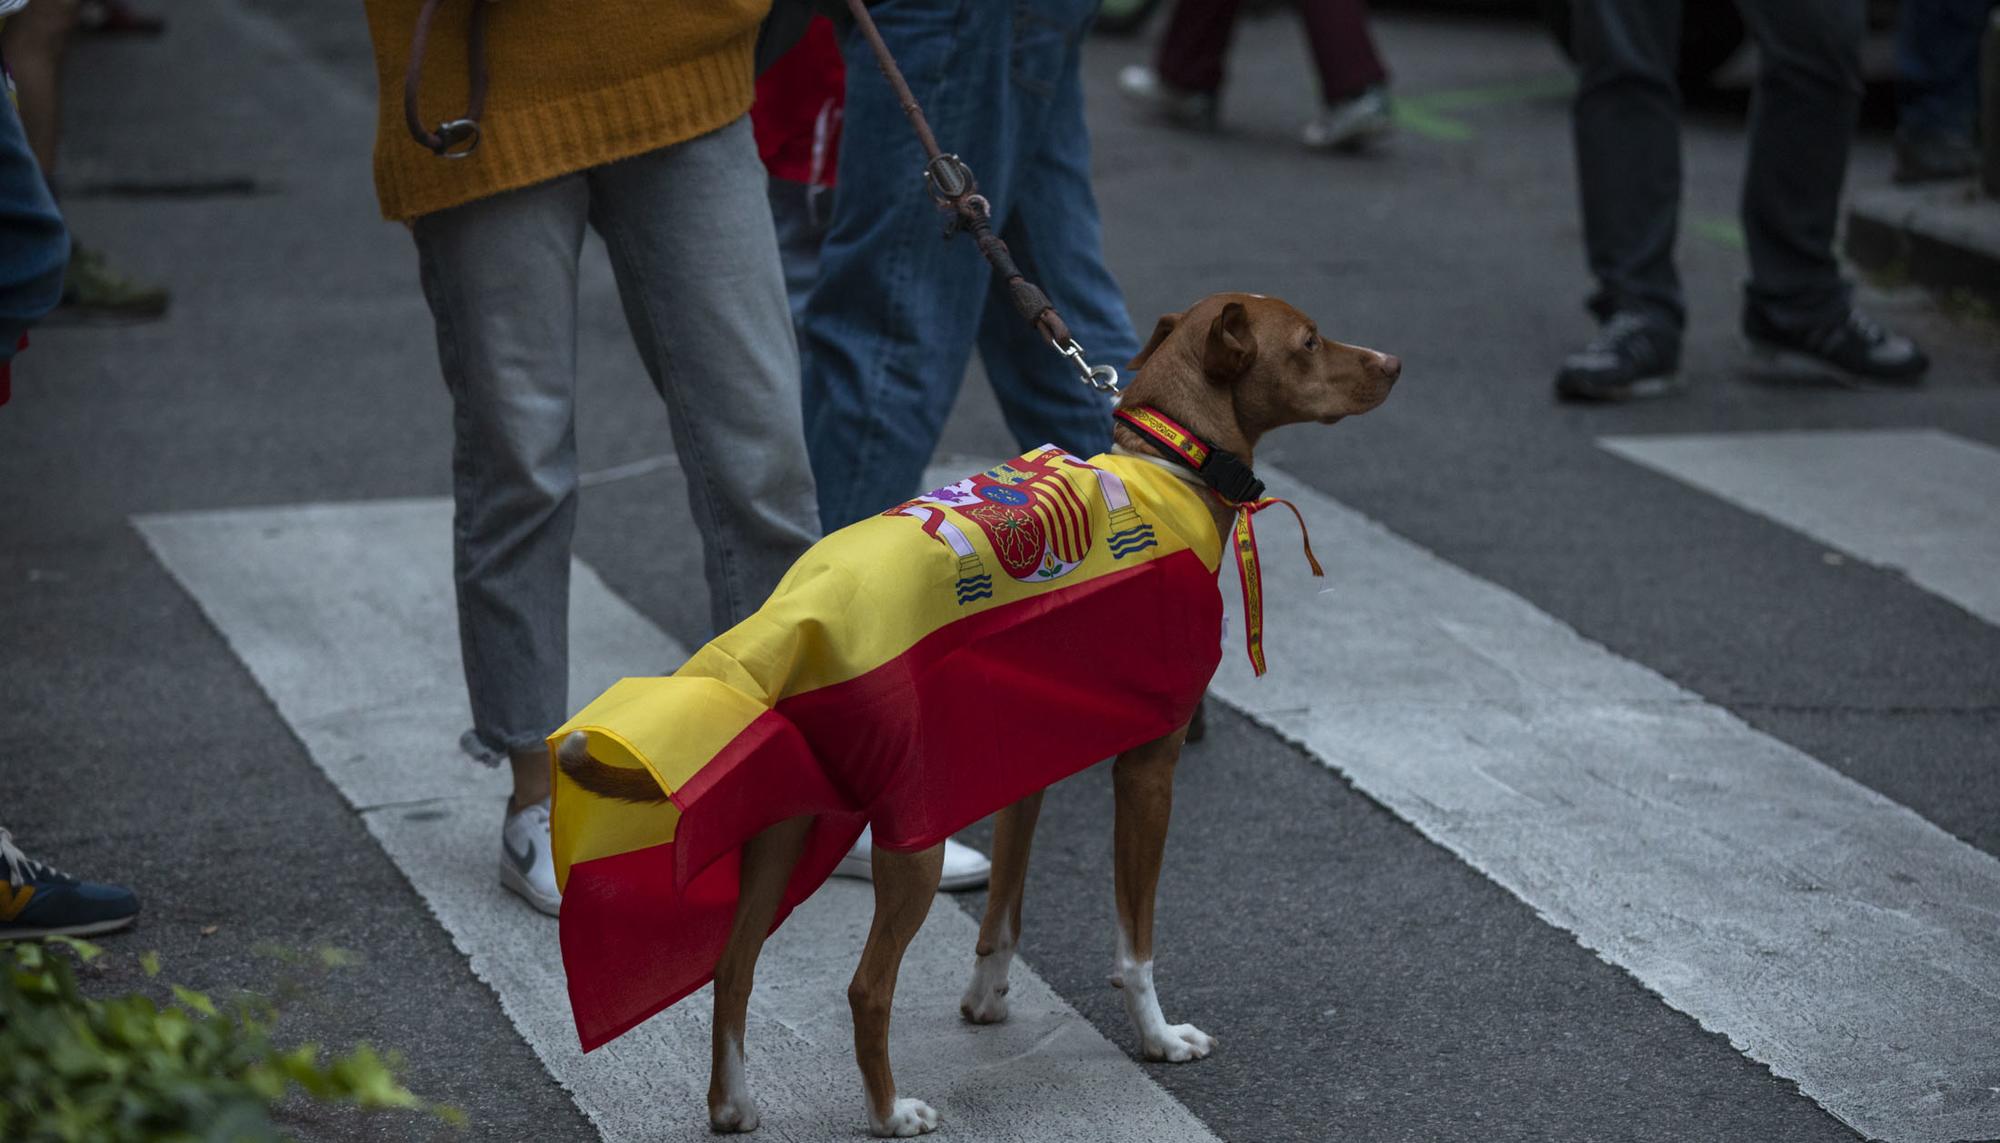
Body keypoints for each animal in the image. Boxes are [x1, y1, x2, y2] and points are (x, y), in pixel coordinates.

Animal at [556, 291, 1400, 1135]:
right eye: (1310, 341)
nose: (1394, 364)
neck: (1173, 474)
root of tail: (788, 621)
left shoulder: (1022, 753)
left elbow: (1005, 907)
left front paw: (988, 994)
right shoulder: (1148, 768)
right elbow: (1135, 945)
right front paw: (1159, 1037)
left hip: (784, 829)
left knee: (731, 967)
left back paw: (732, 1103)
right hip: (911, 835)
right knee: (865, 986)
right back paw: (889, 1112)